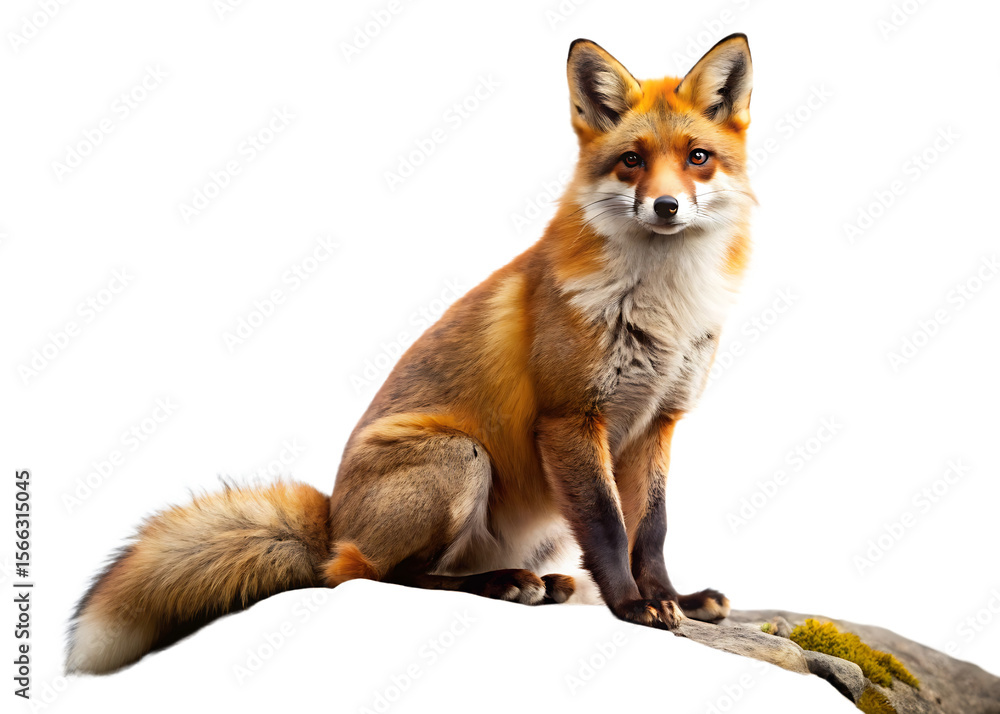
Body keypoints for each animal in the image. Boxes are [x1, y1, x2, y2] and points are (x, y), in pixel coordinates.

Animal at [68, 33, 756, 674]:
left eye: (697, 159)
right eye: (632, 161)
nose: (666, 206)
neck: (664, 309)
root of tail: (333, 523)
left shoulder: (658, 422)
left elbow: (652, 531)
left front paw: (673, 599)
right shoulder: (571, 419)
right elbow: (611, 530)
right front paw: (632, 605)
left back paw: (540, 582)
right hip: (460, 458)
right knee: (378, 574)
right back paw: (497, 584)